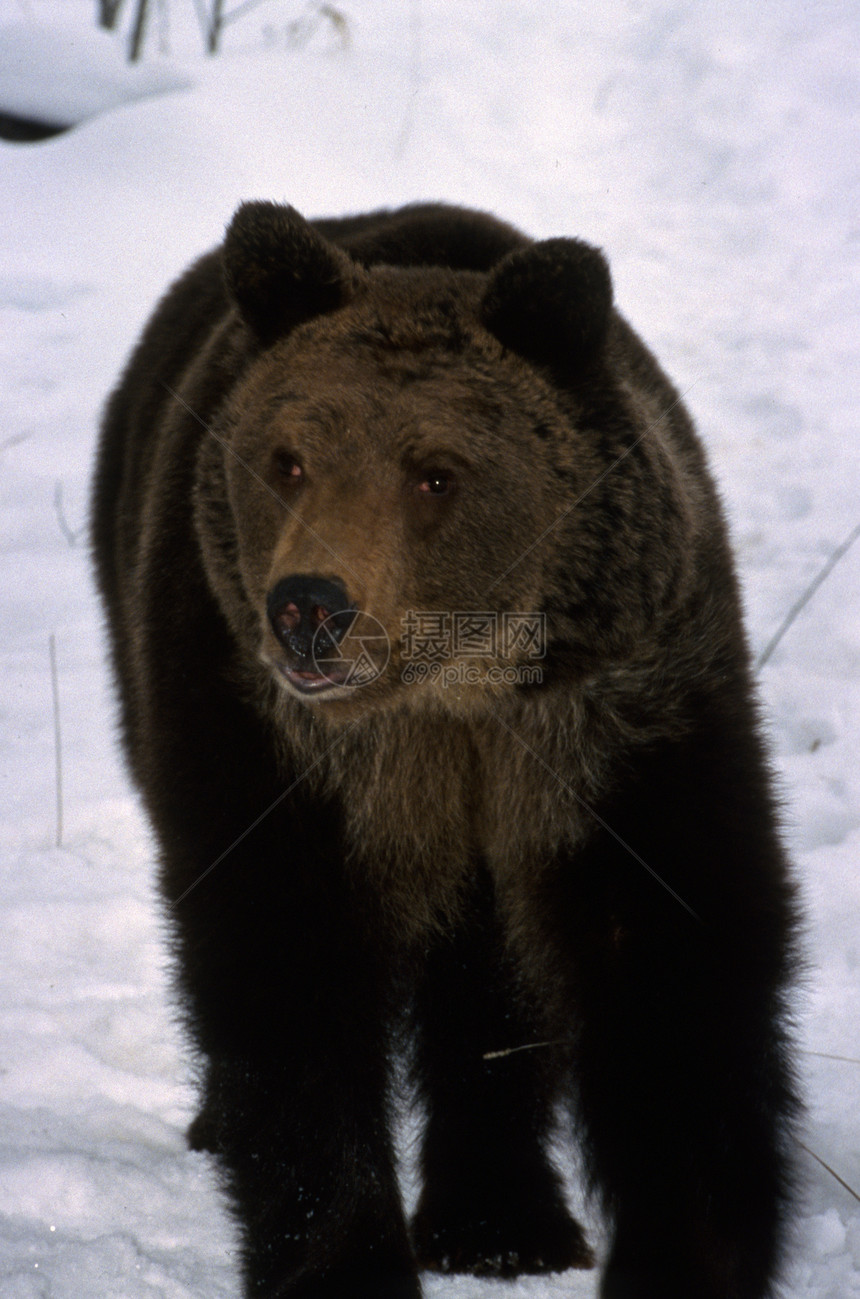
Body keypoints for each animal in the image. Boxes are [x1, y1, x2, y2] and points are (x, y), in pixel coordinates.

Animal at [92, 197, 800, 1293]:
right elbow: (285, 973)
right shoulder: (272, 742)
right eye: (287, 459)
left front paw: (683, 1254)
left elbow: (673, 961)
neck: (452, 692)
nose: (310, 608)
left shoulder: (615, 724)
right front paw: (343, 1262)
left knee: (491, 984)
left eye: (434, 472)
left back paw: (503, 1221)